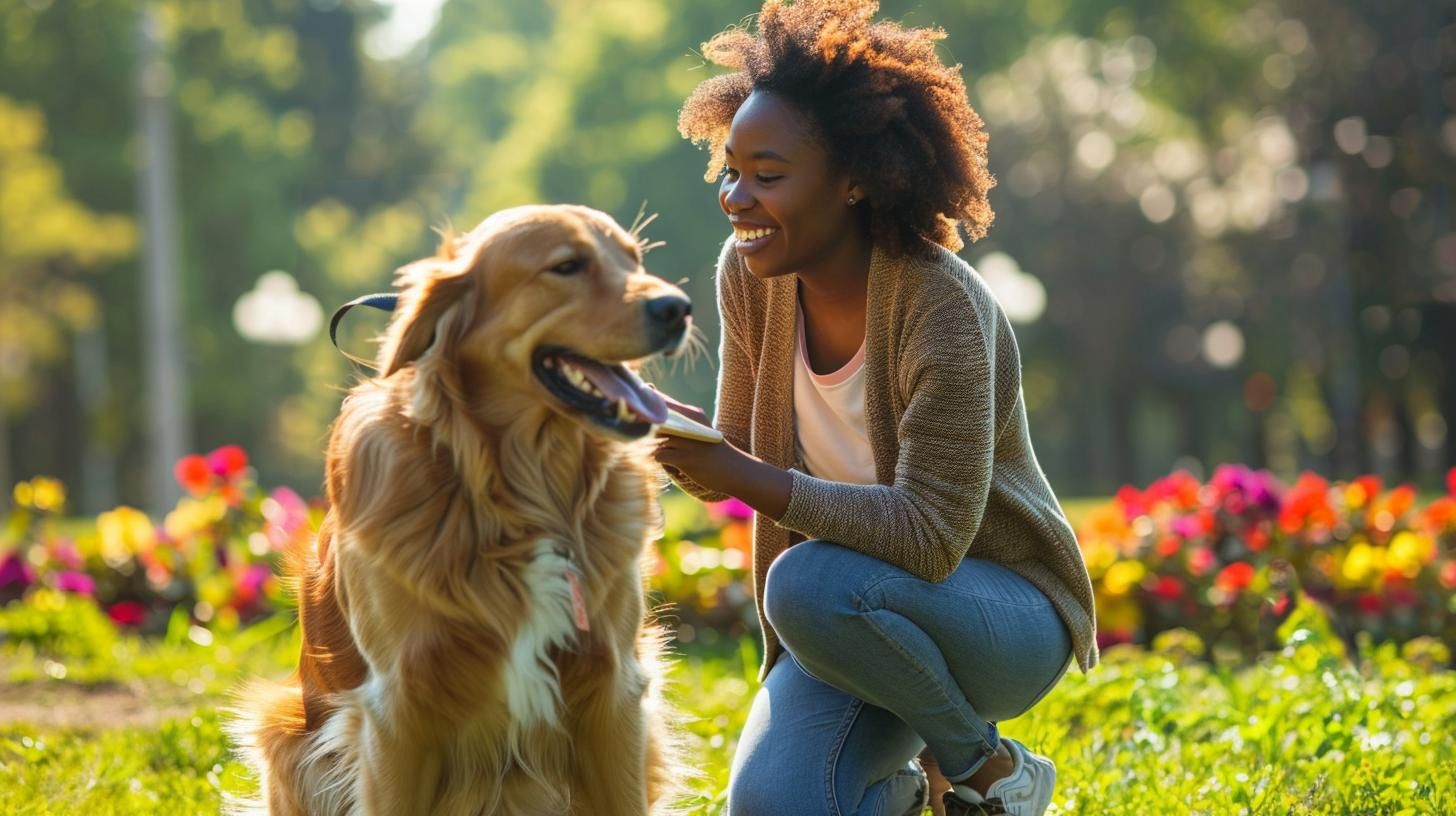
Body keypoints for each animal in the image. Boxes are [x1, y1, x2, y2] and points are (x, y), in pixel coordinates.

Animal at [231, 205, 693, 816]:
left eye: (635, 260)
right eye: (566, 266)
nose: (679, 308)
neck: (517, 495)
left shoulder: (613, 691)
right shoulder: (398, 709)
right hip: (286, 732)